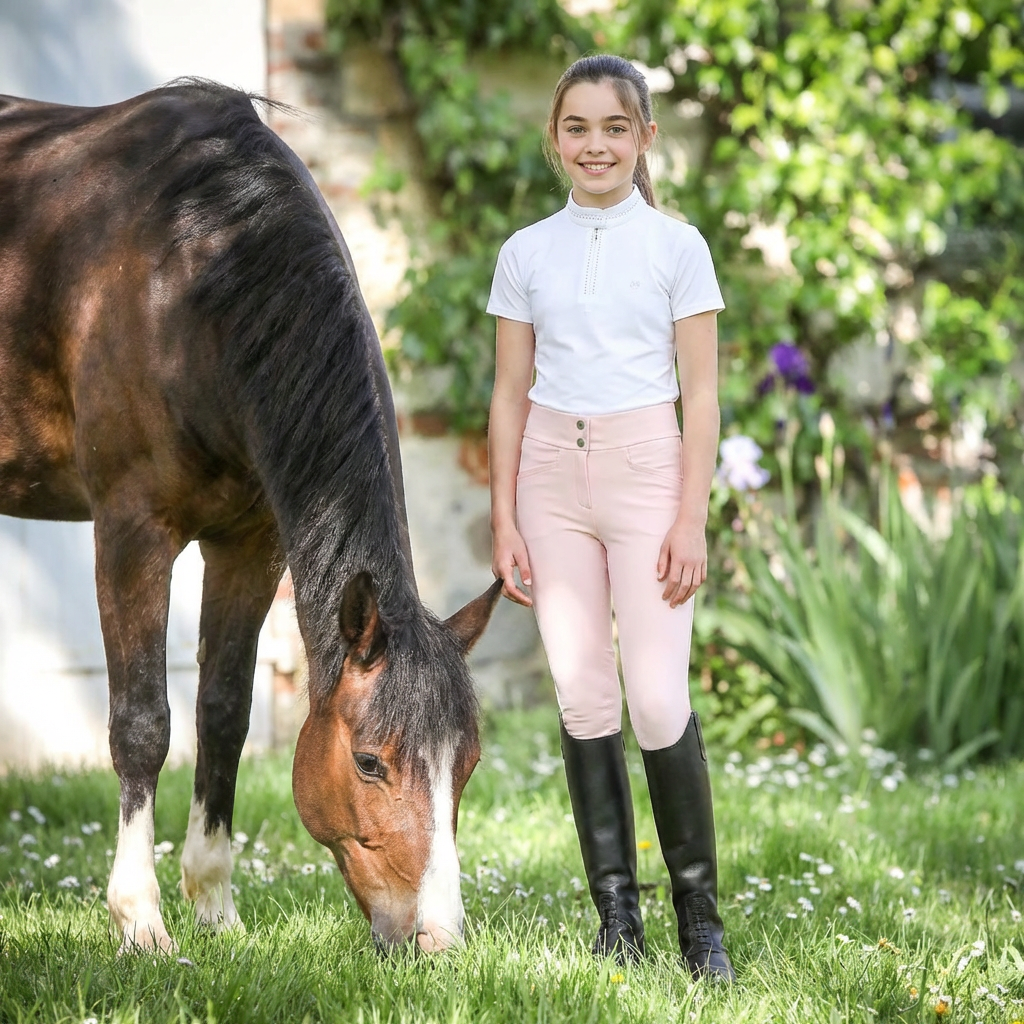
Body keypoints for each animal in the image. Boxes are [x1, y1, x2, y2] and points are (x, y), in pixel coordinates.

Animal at [0, 80, 501, 954]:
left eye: (464, 766)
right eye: (369, 762)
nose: (436, 939)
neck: (188, 266)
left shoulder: (249, 546)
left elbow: (224, 714)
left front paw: (214, 907)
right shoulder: (131, 532)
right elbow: (143, 721)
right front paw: (142, 922)